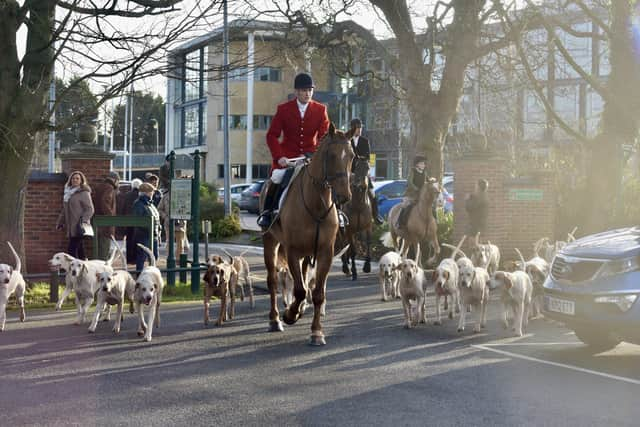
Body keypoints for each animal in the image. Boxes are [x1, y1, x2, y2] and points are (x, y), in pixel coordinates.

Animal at [260, 124, 356, 348]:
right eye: (331, 155)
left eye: (352, 156)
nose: (344, 196)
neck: (316, 203)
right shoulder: (292, 250)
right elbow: (300, 289)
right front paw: (289, 314)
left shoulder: (324, 252)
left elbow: (317, 292)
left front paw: (317, 332)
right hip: (270, 242)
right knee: (273, 281)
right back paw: (275, 320)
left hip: (307, 252)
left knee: (303, 278)